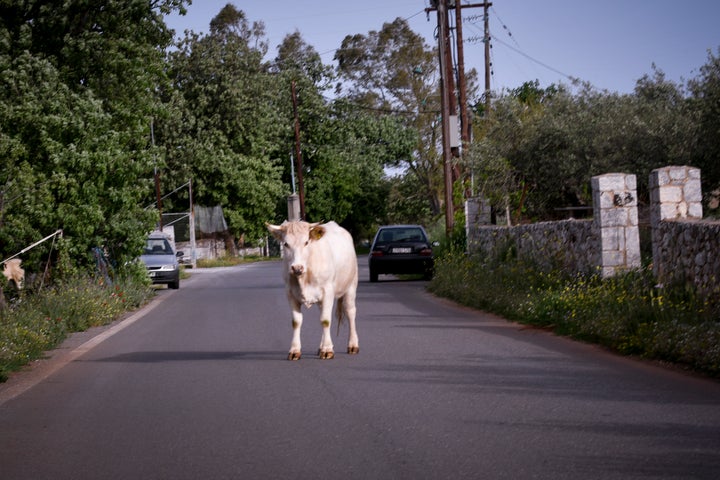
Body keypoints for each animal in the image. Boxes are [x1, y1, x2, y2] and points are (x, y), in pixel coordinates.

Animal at [268, 221, 360, 360]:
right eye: (286, 244)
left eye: (306, 242)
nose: (297, 268)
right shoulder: (290, 294)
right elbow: (296, 322)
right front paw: (295, 350)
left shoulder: (328, 292)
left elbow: (326, 321)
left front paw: (327, 350)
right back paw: (321, 347)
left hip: (351, 286)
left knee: (350, 312)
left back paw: (353, 345)